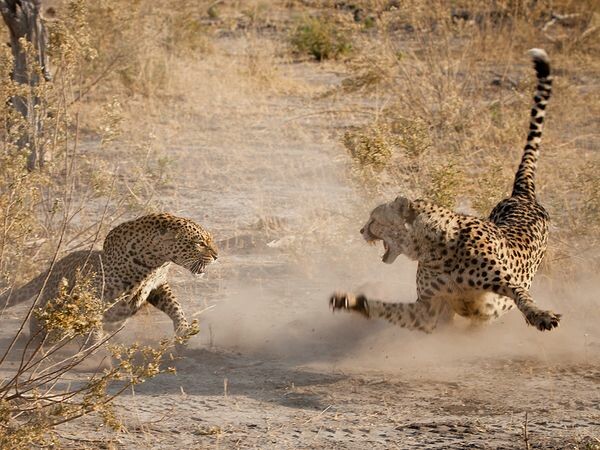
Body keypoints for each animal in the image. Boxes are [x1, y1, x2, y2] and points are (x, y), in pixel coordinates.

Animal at [0, 213, 218, 346]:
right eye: (200, 243)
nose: (217, 255)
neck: (155, 261)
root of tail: (56, 263)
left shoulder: (157, 285)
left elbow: (175, 307)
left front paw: (183, 332)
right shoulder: (95, 290)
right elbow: (93, 317)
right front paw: (94, 345)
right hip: (53, 302)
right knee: (41, 317)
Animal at [330, 49, 560, 332]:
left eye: (374, 219)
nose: (362, 230)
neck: (436, 249)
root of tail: (521, 195)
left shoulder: (503, 283)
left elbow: (520, 294)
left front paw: (540, 315)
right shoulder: (429, 311)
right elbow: (388, 308)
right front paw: (350, 301)